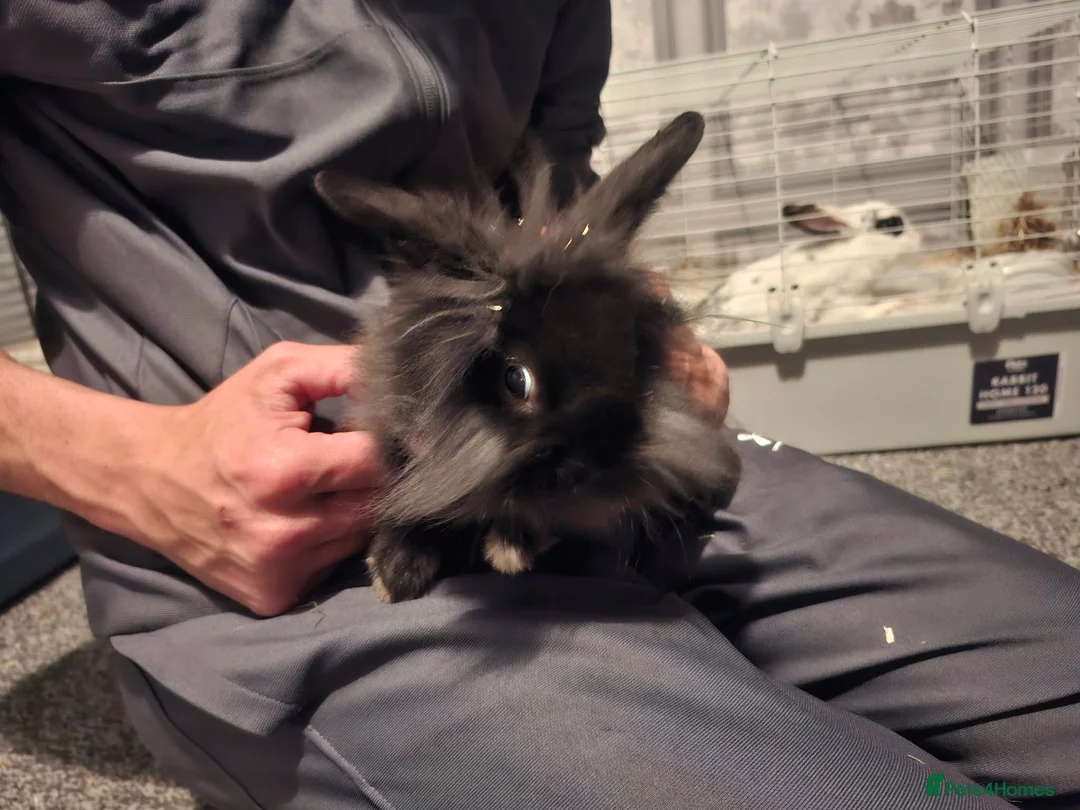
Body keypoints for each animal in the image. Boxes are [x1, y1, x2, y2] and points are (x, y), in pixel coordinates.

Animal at [313, 111, 742, 603]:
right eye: (516, 380)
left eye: (637, 358)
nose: (597, 466)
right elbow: (404, 495)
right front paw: (395, 574)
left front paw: (512, 547)